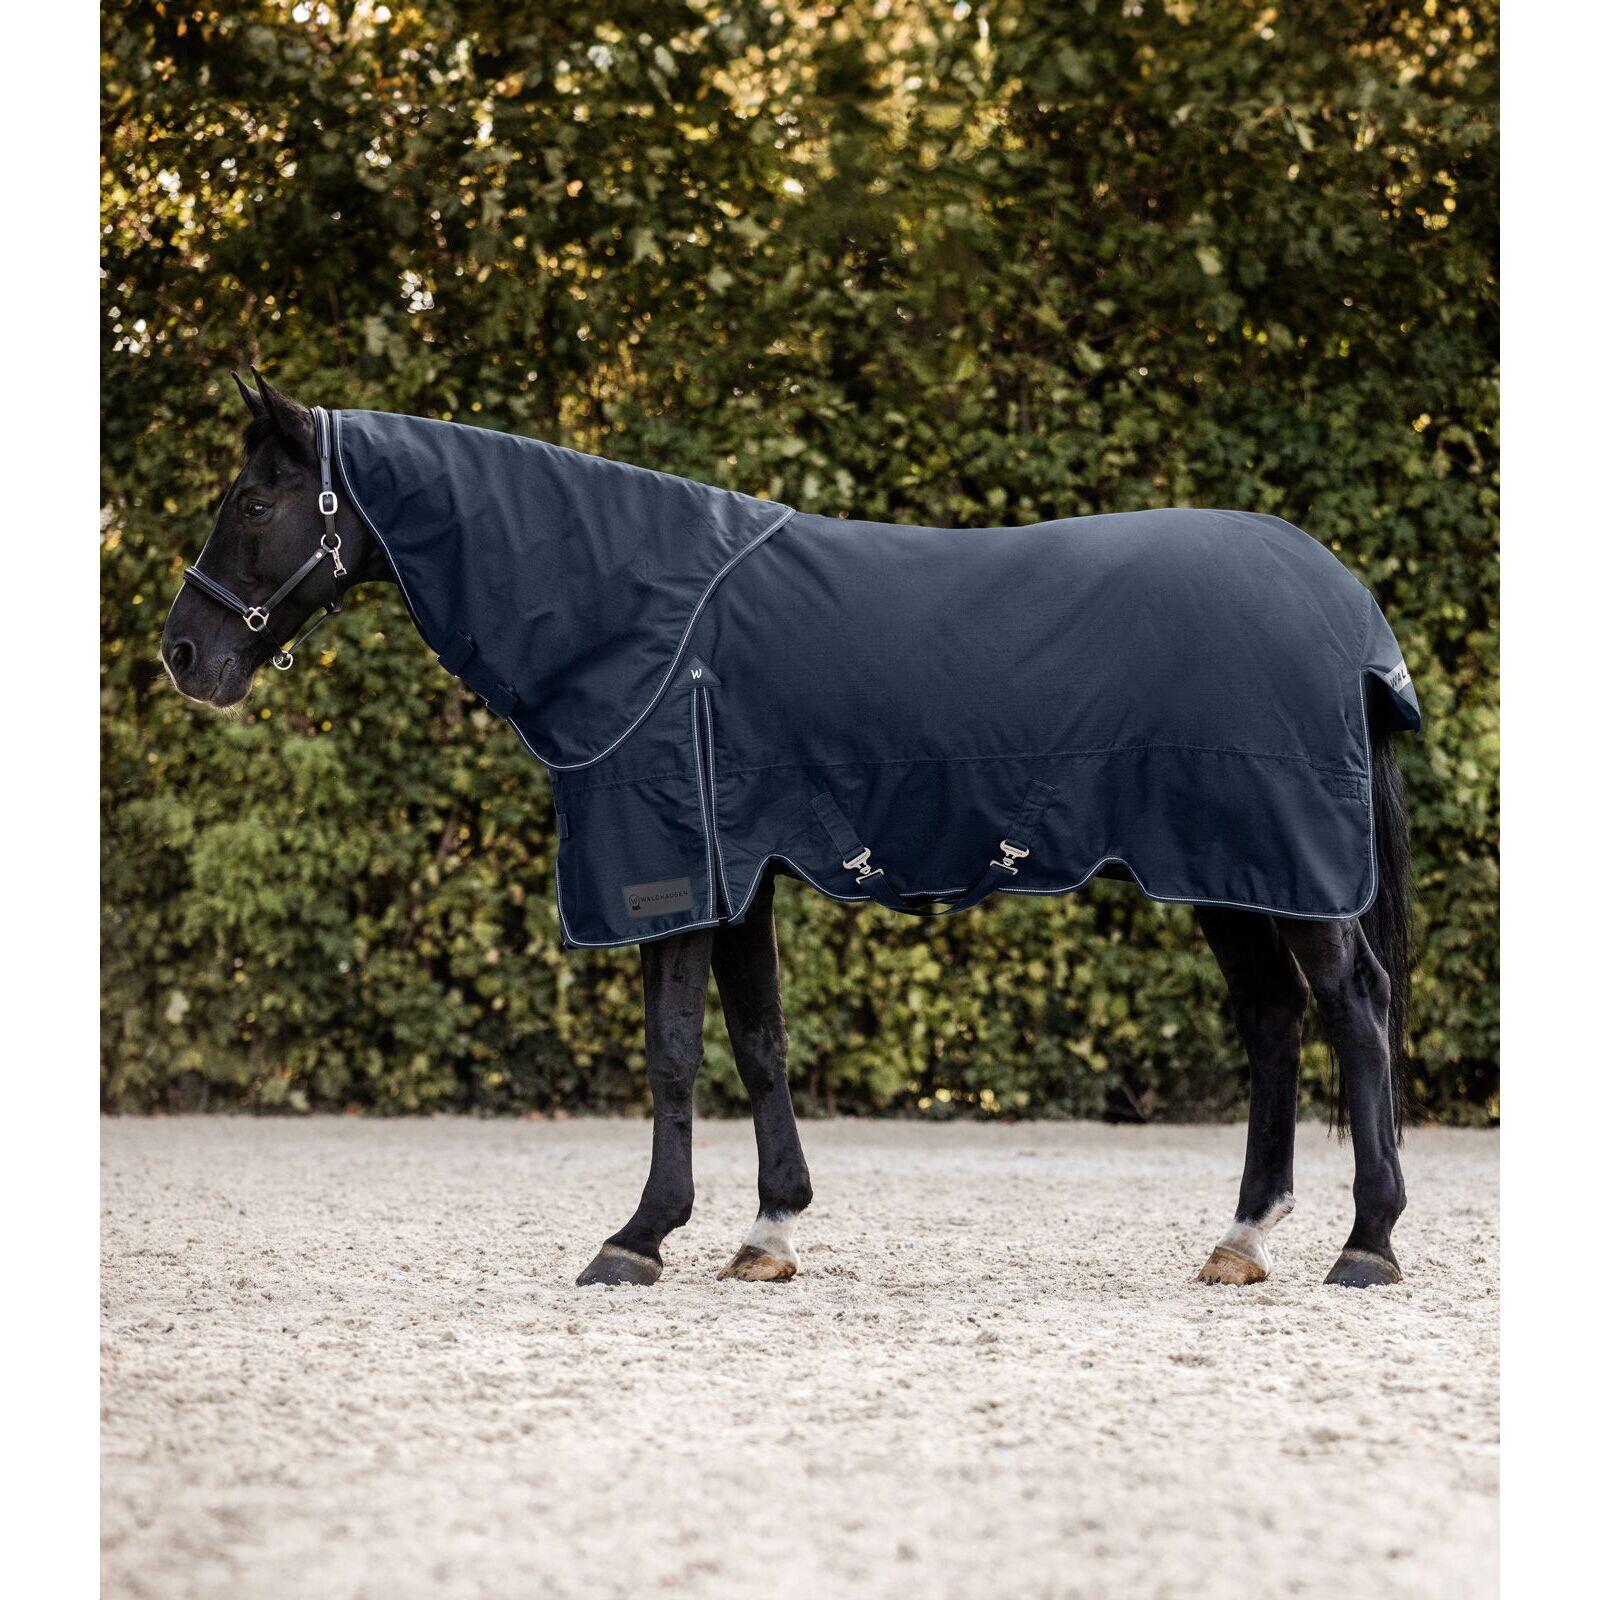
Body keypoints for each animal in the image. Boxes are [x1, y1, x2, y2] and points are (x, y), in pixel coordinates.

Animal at [161, 371, 1416, 1291]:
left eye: (254, 503)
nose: (184, 656)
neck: (637, 611)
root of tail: (1347, 602)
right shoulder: (738, 871)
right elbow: (757, 1038)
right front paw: (766, 1231)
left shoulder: (672, 871)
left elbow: (672, 1050)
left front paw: (639, 1235)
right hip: (1229, 870)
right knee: (1271, 1021)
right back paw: (1242, 1238)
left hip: (1283, 863)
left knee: (1352, 1012)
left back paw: (1367, 1242)